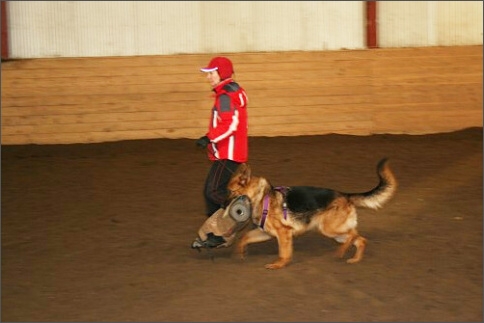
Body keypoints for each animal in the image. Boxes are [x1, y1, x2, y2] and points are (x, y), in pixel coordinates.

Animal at [225, 158, 396, 270]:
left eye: (231, 192)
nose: (223, 205)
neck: (262, 197)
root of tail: (346, 195)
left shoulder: (284, 233)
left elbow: (283, 252)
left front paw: (279, 264)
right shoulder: (266, 233)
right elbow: (244, 237)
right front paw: (240, 253)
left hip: (329, 229)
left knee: (354, 234)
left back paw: (341, 252)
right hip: (336, 234)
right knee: (360, 239)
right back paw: (354, 259)